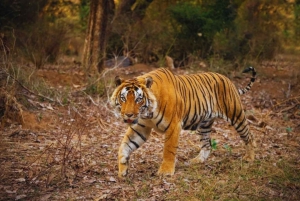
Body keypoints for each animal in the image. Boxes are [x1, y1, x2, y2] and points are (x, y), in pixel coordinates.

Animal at [111, 66, 256, 177]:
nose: (128, 115)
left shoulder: (173, 126)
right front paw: (123, 167)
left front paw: (165, 172)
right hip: (204, 124)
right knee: (207, 144)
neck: (148, 114)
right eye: (123, 98)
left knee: (249, 136)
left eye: (138, 99)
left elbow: (169, 149)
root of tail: (227, 79)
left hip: (235, 114)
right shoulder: (141, 127)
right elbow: (125, 145)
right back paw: (197, 160)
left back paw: (250, 158)